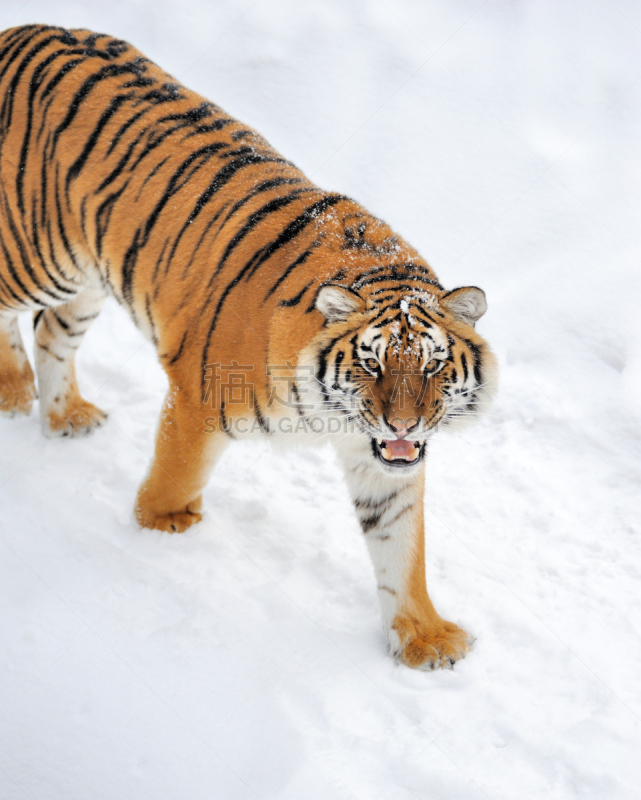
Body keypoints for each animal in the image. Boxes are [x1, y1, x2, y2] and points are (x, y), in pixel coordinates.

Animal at [0, 25, 496, 672]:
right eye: (372, 364)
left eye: (433, 366)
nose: (404, 424)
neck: (330, 415)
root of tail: (20, 31)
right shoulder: (197, 398)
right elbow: (176, 473)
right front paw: (164, 528)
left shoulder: (382, 461)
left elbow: (401, 547)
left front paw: (423, 637)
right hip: (38, 257)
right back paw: (13, 390)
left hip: (86, 277)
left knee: (50, 331)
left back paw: (65, 418)